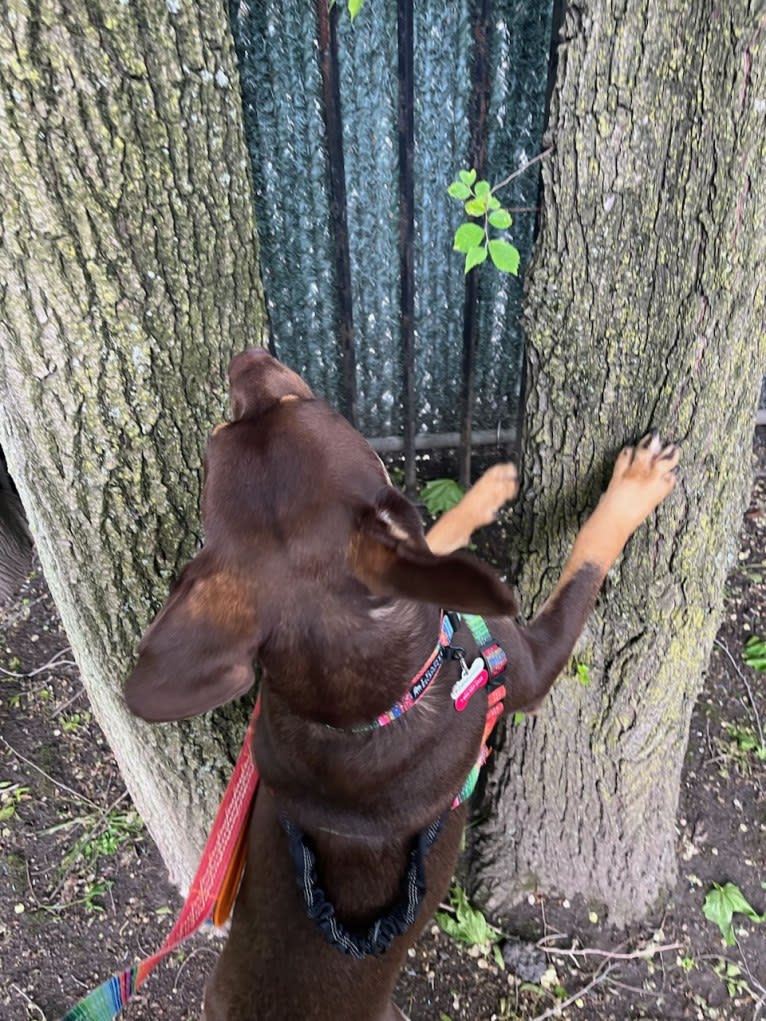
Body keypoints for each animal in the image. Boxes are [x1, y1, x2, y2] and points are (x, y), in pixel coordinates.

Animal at [126, 347, 682, 1016]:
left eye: (223, 431)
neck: (366, 711)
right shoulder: (531, 665)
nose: (246, 358)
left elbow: (428, 550)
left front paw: (482, 495)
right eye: (305, 403)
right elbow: (586, 560)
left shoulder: (409, 578)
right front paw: (634, 487)